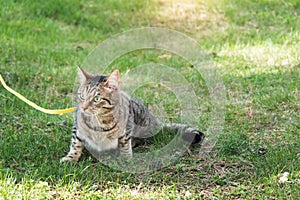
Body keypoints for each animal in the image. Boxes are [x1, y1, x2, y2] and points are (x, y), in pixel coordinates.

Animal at [60, 67, 204, 162]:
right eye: (82, 96)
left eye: (96, 99)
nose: (83, 107)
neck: (99, 119)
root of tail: (153, 119)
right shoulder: (77, 127)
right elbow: (76, 143)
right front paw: (71, 158)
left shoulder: (126, 128)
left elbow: (124, 143)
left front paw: (126, 158)